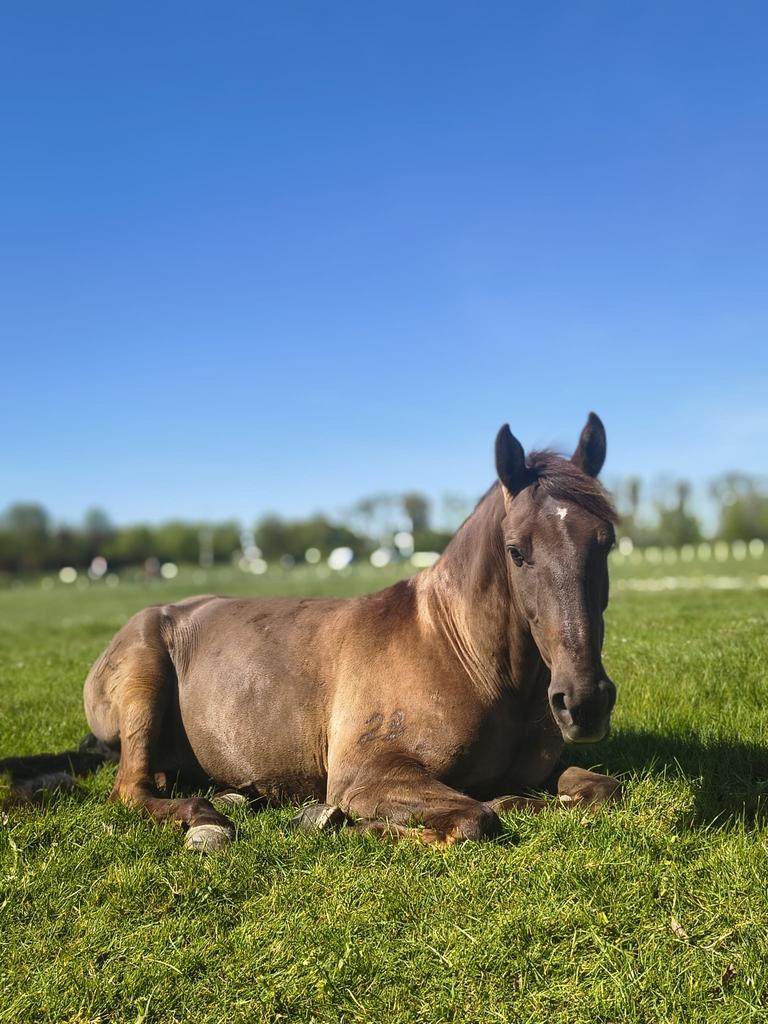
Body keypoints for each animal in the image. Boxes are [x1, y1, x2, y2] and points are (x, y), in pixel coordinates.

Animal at [2, 414, 621, 848]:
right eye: (516, 551)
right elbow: (474, 818)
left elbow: (600, 791)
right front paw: (344, 823)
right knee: (132, 788)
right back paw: (204, 819)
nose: (584, 701)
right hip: (142, 684)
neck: (465, 657)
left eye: (607, 542)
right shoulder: (366, 777)